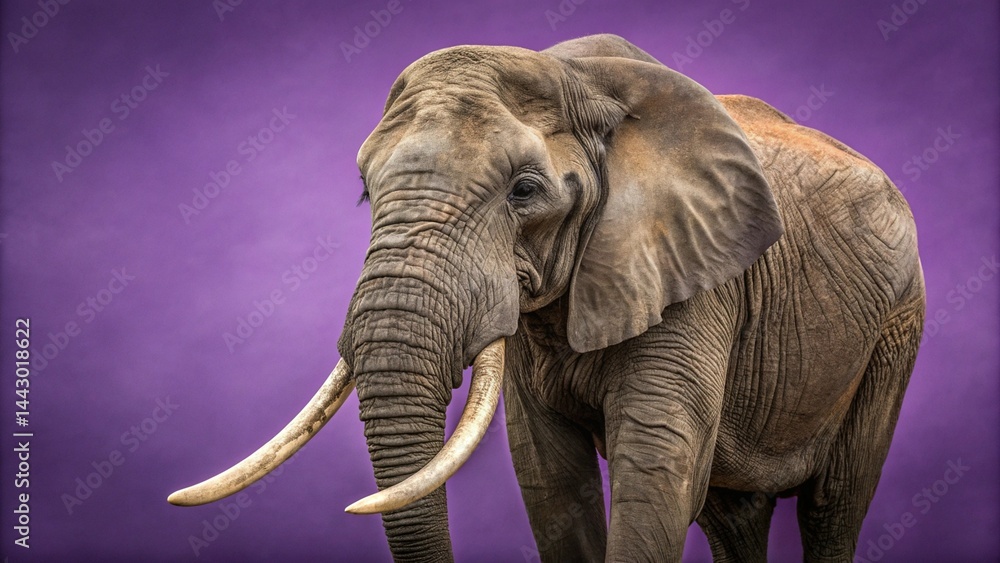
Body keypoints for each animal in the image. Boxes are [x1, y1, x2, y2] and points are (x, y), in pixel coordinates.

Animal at [169, 34, 925, 562]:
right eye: (363, 189)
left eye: (525, 191)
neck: (584, 81)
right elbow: (550, 478)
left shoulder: (698, 278)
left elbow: (657, 465)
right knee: (732, 513)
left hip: (896, 326)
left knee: (833, 503)